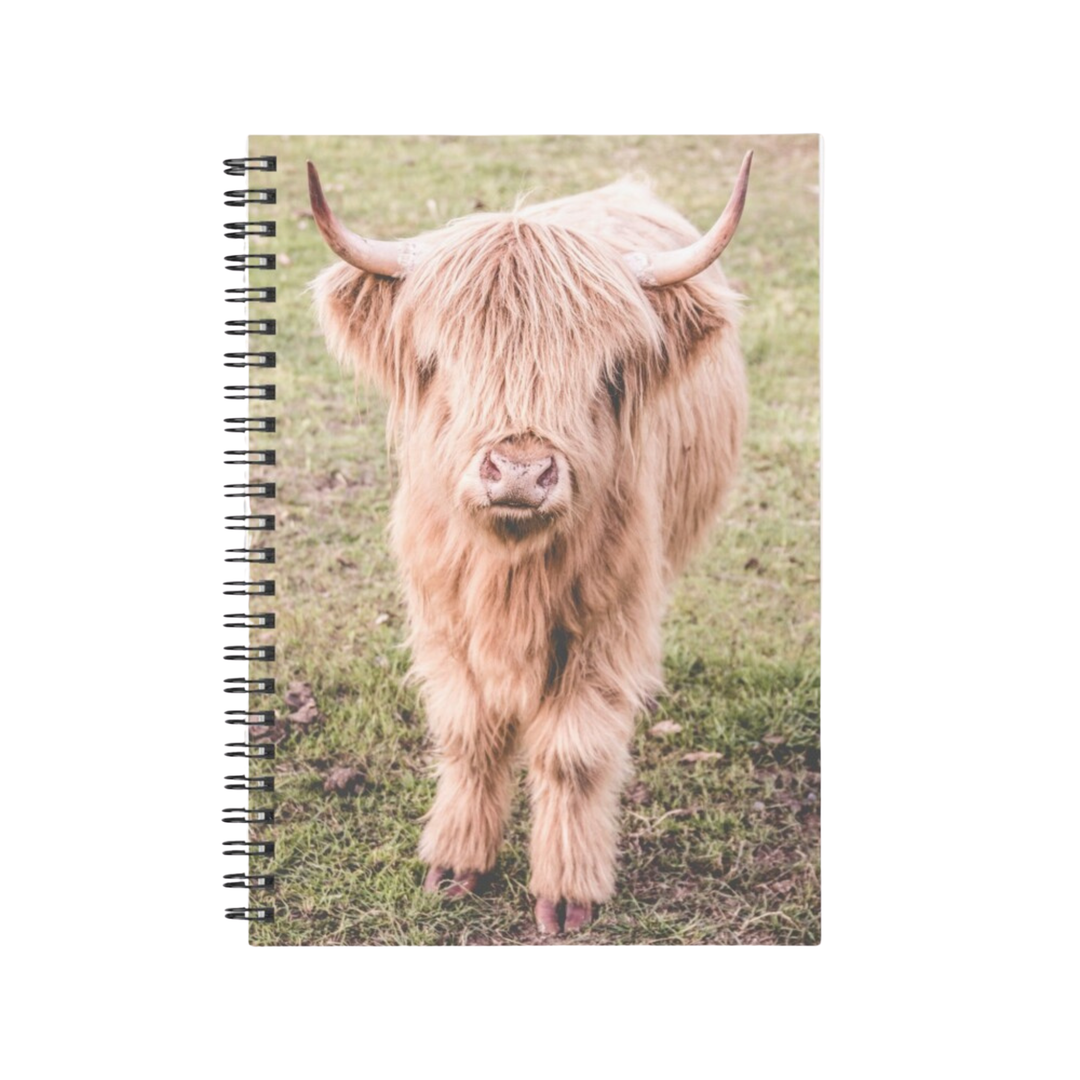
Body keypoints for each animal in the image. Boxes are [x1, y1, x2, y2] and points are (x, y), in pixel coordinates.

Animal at [308, 151, 751, 935]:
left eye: (608, 369)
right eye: (440, 359)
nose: (519, 470)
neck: (507, 568)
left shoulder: (607, 622)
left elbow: (574, 753)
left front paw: (568, 892)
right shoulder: (442, 614)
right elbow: (469, 733)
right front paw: (456, 864)